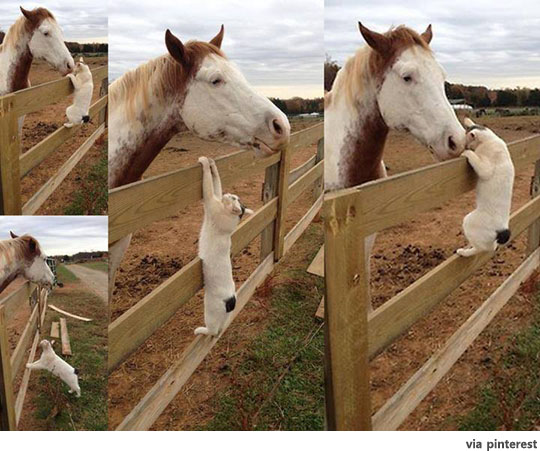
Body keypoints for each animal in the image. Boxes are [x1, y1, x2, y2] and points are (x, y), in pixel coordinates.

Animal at [194, 157, 253, 338]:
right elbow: (216, 183)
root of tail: (232, 301)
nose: (229, 194)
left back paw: (201, 330)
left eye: (233, 198)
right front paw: (212, 163)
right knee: (219, 329)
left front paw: (205, 162)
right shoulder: (216, 198)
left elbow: (208, 184)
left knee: (213, 331)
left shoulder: (210, 201)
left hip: (209, 310)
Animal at [458, 116, 516, 258]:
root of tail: (502, 229)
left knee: (482, 249)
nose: (465, 146)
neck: (490, 139)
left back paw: (464, 252)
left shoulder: (486, 169)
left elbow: (474, 157)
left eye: (466, 142)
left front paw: (466, 152)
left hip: (469, 221)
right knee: (491, 247)